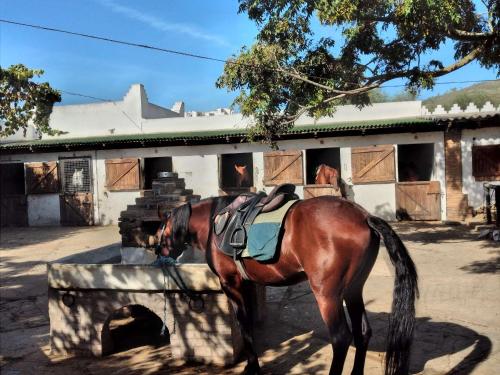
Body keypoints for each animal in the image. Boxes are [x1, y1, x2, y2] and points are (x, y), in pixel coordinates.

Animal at [156, 197, 418, 375]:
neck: (214, 224)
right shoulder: (247, 285)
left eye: (161, 230)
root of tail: (364, 216)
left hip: (328, 295)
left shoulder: (231, 284)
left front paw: (252, 368)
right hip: (353, 291)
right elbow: (248, 324)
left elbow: (243, 324)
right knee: (362, 332)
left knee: (341, 338)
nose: (159, 252)